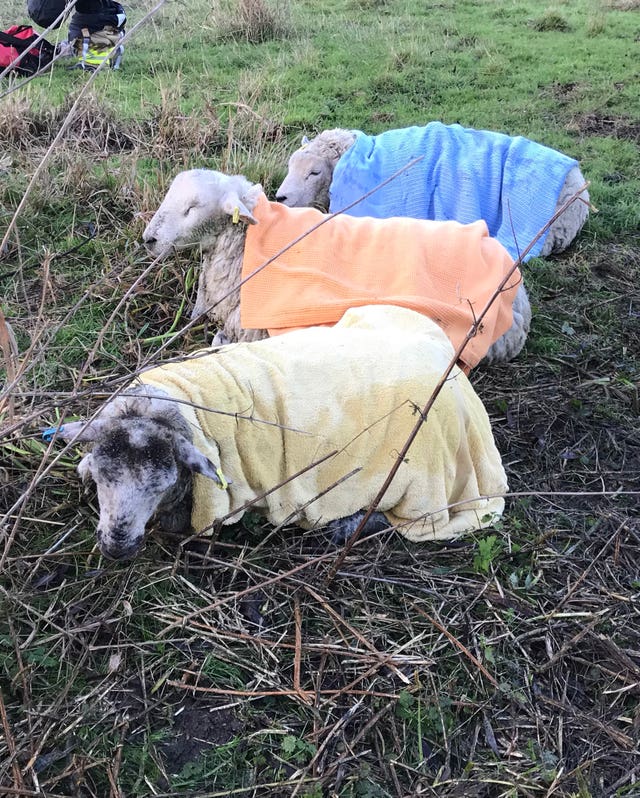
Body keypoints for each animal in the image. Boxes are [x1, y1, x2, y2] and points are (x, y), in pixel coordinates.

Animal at [60, 306, 510, 564]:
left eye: (161, 484)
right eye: (101, 477)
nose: (117, 548)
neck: (190, 405)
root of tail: (452, 369)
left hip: (420, 483)